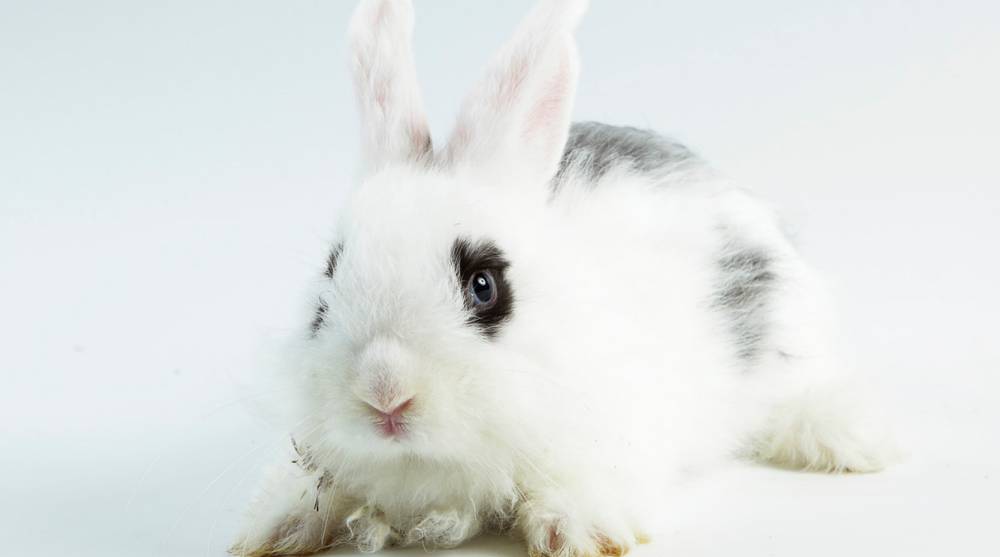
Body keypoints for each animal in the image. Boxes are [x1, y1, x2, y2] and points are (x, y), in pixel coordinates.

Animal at [230, 0, 895, 556]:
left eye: (485, 286)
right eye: (328, 280)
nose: (384, 394)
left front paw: (581, 533)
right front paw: (272, 530)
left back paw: (855, 443)